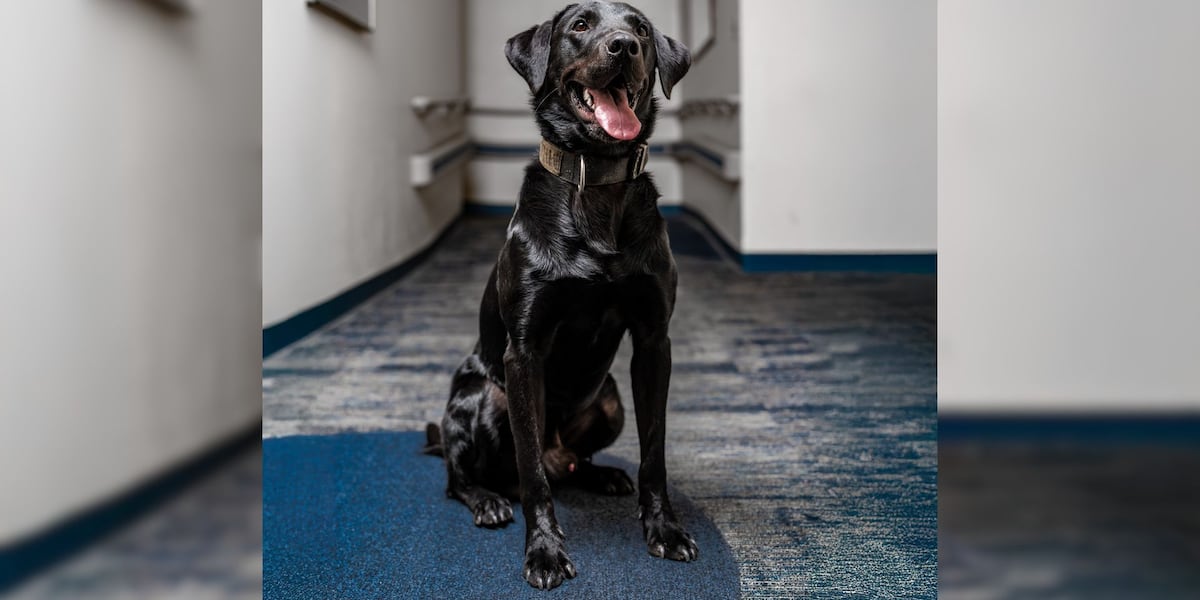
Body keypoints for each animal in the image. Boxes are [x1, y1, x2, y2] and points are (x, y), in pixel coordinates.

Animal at [424, 0, 696, 590]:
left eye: (642, 29)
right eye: (580, 25)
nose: (624, 46)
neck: (596, 182)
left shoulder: (653, 341)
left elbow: (655, 451)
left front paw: (663, 529)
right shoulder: (523, 353)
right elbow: (531, 477)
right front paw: (545, 551)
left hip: (611, 397)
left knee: (572, 465)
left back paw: (602, 476)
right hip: (483, 398)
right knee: (465, 476)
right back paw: (487, 500)